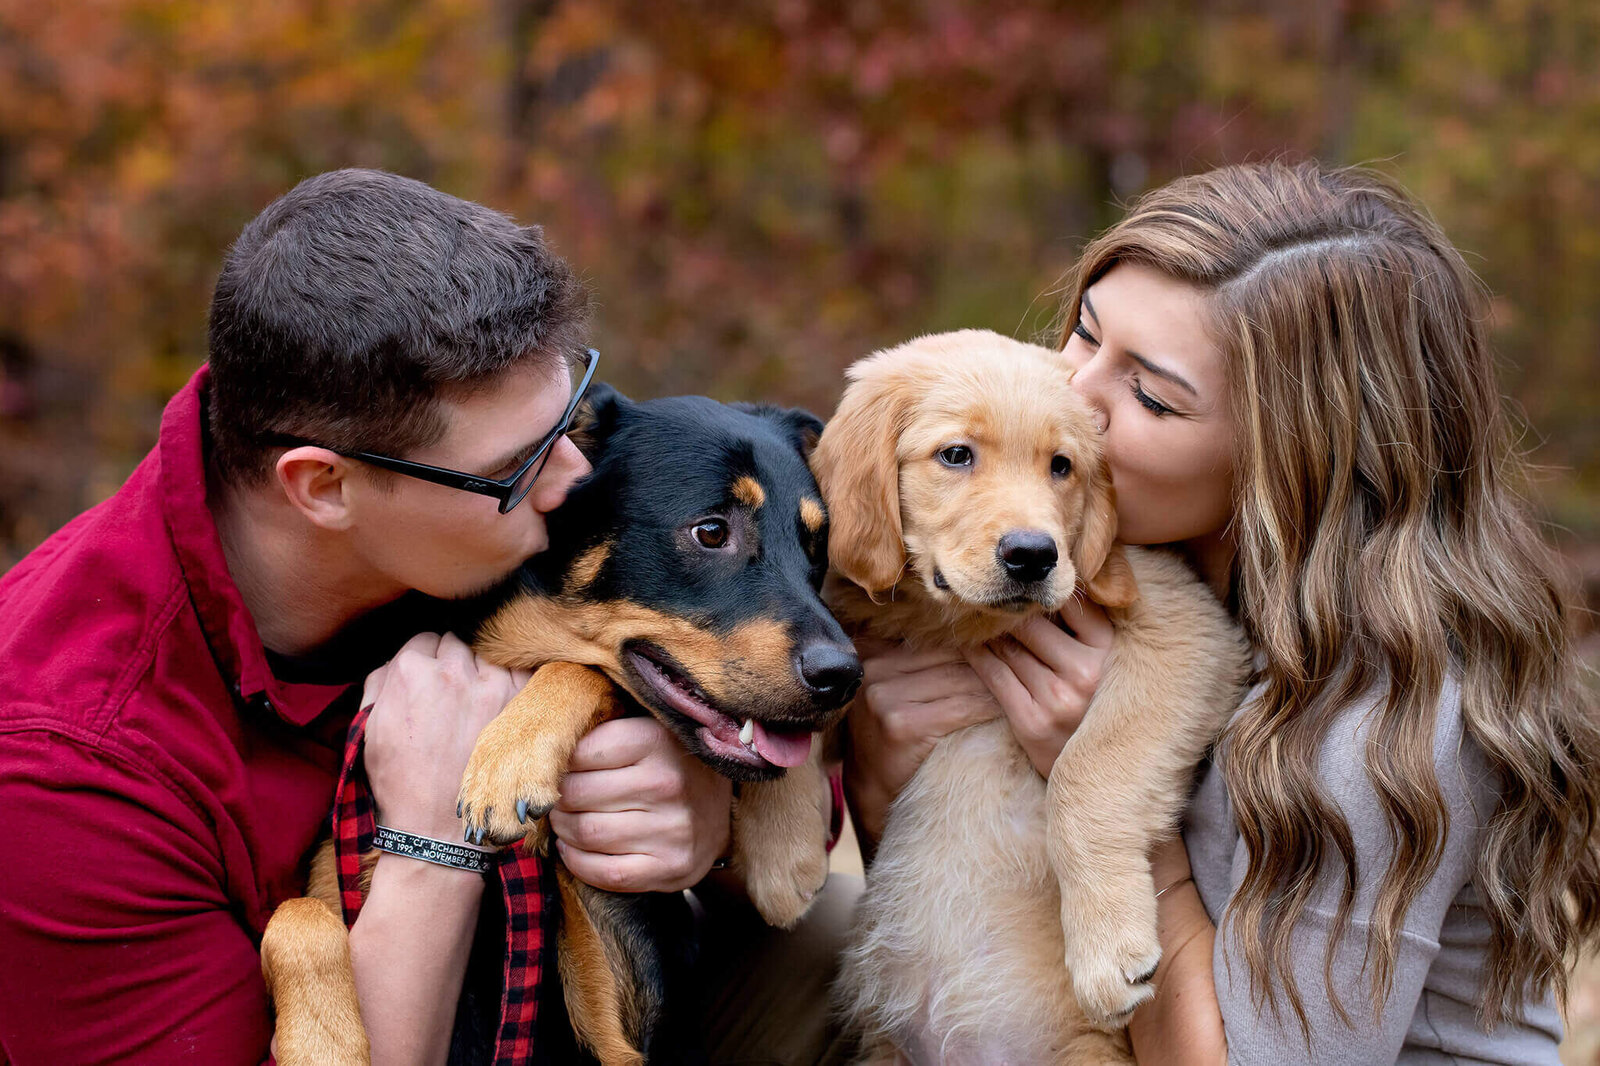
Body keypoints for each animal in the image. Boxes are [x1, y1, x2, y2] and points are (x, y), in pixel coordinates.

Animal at [259, 385, 864, 1062]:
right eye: (711, 532)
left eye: (816, 548)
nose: (845, 677)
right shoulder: (337, 880)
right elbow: (294, 917)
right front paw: (322, 1046)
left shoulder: (618, 1025)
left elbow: (581, 668)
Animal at [812, 328, 1248, 1056]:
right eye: (956, 455)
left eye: (1061, 466)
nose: (1033, 556)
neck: (955, 621)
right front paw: (778, 858)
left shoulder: (1188, 631)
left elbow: (1086, 772)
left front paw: (1107, 949)